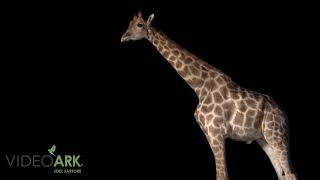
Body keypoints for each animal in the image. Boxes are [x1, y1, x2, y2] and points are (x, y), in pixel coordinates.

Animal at [120, 11, 298, 180]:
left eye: (140, 25)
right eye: (129, 24)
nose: (123, 37)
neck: (200, 86)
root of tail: (284, 115)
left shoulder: (216, 132)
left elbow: (222, 175)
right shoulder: (209, 133)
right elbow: (221, 174)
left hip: (277, 137)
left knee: (290, 174)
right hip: (264, 139)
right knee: (282, 174)